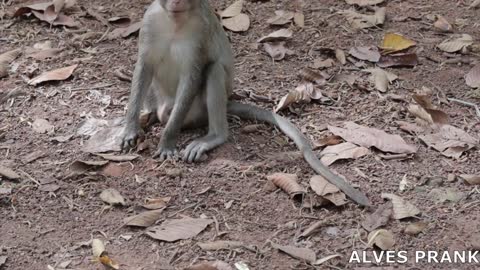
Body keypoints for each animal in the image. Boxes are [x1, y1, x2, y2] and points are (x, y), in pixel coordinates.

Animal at [121, 0, 372, 207]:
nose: (176, 1)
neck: (175, 21)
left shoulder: (200, 31)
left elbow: (192, 75)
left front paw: (167, 140)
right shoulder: (149, 22)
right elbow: (144, 67)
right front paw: (130, 128)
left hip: (196, 111)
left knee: (213, 70)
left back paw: (213, 136)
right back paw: (148, 115)